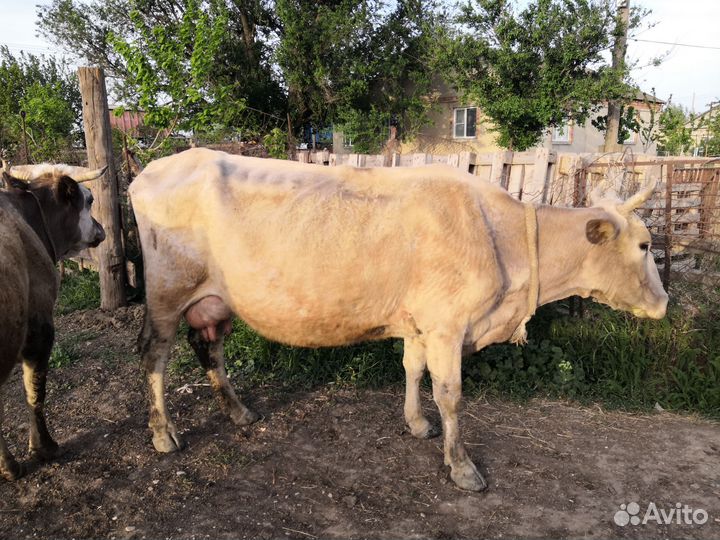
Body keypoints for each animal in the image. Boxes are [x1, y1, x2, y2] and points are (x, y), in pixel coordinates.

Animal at [129, 148, 668, 491]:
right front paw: (462, 467)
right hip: (166, 292)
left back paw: (238, 412)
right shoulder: (448, 324)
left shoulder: (421, 320)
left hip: (213, 298)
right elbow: (450, 394)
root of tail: (153, 167)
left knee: (209, 345)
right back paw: (162, 434)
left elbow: (412, 369)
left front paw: (416, 423)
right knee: (154, 355)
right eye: (645, 245)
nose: (664, 303)